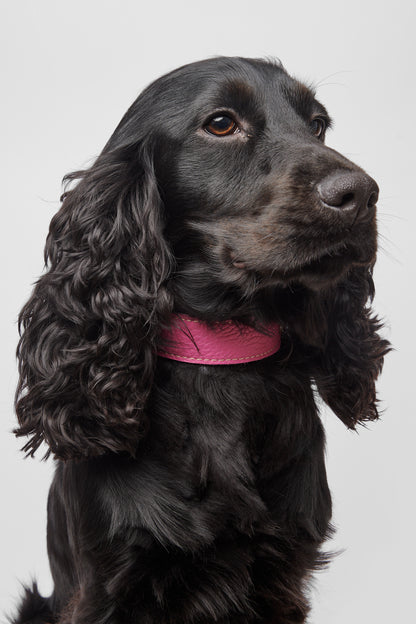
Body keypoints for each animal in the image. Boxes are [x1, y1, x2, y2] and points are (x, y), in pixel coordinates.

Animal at [13, 58, 390, 624]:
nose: (361, 194)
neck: (222, 352)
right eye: (221, 124)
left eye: (318, 124)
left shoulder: (282, 580)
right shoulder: (104, 588)